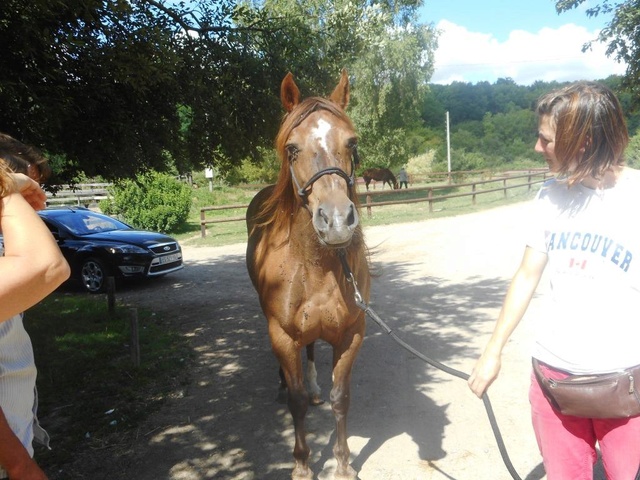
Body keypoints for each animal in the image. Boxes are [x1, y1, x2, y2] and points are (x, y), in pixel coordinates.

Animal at [248, 68, 372, 480]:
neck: (316, 264)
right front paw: (302, 465)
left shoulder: (351, 334)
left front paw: (343, 464)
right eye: (292, 148)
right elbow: (296, 401)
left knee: (313, 352)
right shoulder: (283, 335)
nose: (336, 221)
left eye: (352, 142)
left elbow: (340, 397)